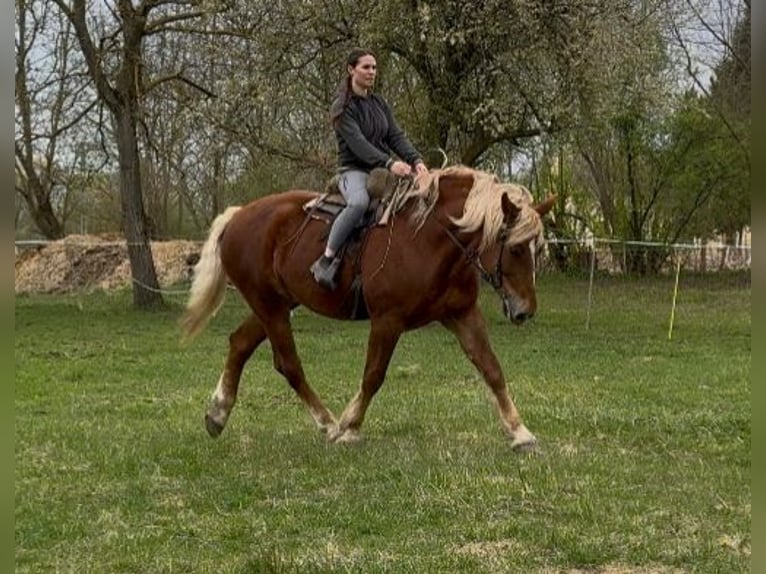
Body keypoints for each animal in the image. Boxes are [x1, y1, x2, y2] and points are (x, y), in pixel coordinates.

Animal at [181, 165, 555, 451]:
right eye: (516, 248)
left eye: (537, 248)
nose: (525, 310)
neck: (429, 239)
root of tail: (238, 217)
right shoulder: (388, 320)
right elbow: (373, 375)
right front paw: (350, 427)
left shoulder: (462, 314)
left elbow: (491, 369)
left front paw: (520, 433)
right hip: (270, 307)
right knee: (288, 364)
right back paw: (328, 424)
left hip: (276, 304)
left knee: (240, 344)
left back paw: (218, 414)